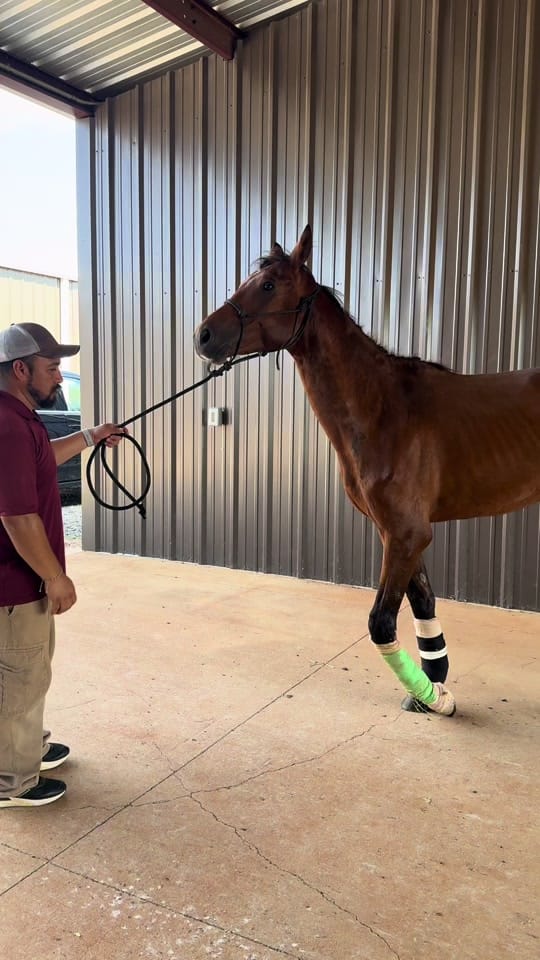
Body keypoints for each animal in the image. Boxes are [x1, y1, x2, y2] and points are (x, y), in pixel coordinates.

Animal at [194, 226, 540, 716]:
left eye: (268, 285)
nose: (203, 336)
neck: (383, 408)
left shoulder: (408, 532)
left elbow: (381, 621)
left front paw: (434, 697)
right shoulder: (394, 532)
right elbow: (422, 601)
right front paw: (433, 683)